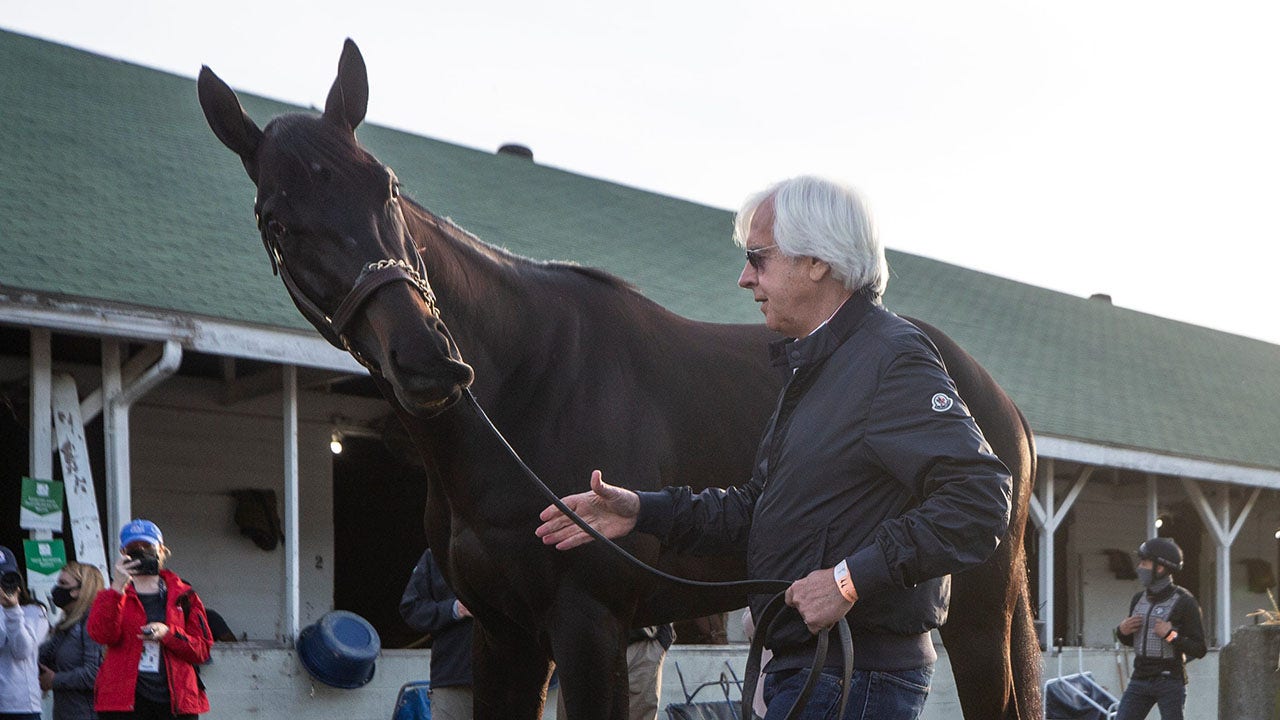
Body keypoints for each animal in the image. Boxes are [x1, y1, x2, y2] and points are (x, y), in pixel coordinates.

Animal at [198, 39, 1041, 719]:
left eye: (388, 186)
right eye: (277, 222)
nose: (428, 360)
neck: (526, 389)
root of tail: (992, 393)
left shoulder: (588, 626)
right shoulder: (505, 637)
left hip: (979, 618)